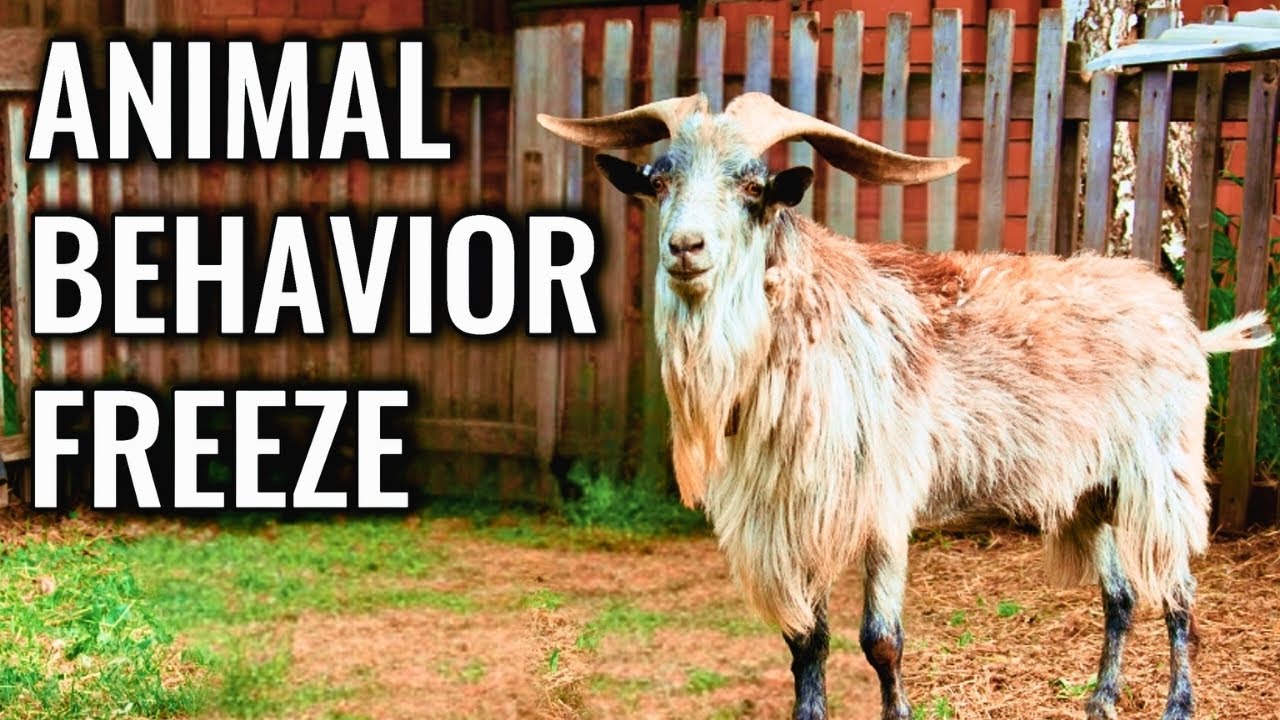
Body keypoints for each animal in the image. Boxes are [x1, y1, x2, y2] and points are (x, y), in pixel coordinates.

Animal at [538, 92, 1274, 720]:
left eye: (753, 186)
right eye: (660, 180)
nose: (685, 248)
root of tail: (1185, 322)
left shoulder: (882, 505)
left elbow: (881, 641)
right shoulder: (794, 514)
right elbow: (806, 641)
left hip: (1164, 475)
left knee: (1178, 595)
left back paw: (1177, 704)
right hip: (1092, 491)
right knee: (1119, 597)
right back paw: (1101, 700)